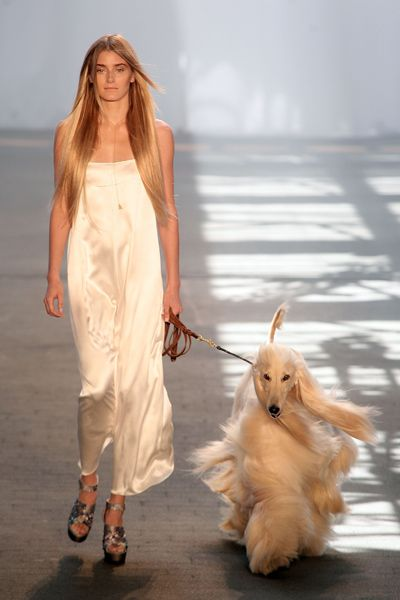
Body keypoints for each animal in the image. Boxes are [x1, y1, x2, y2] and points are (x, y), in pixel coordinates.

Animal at [189, 304, 377, 576]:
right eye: (266, 376)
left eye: (286, 377)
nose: (274, 409)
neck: (284, 424)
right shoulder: (270, 470)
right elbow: (277, 505)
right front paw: (272, 555)